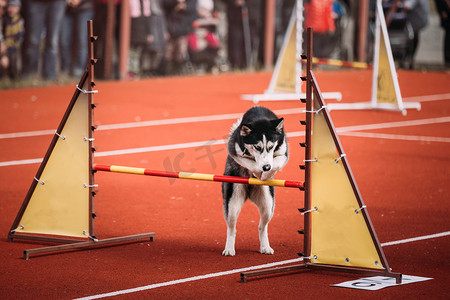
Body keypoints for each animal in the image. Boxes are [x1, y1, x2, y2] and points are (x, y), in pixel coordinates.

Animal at [221, 106, 288, 255]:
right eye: (257, 147)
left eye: (271, 147)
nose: (266, 167)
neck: (260, 115)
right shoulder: (234, 149)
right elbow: (250, 163)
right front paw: (258, 171)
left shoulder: (283, 152)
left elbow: (276, 163)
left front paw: (266, 173)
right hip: (232, 202)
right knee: (232, 228)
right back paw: (229, 248)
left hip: (268, 204)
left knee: (262, 227)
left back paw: (265, 247)